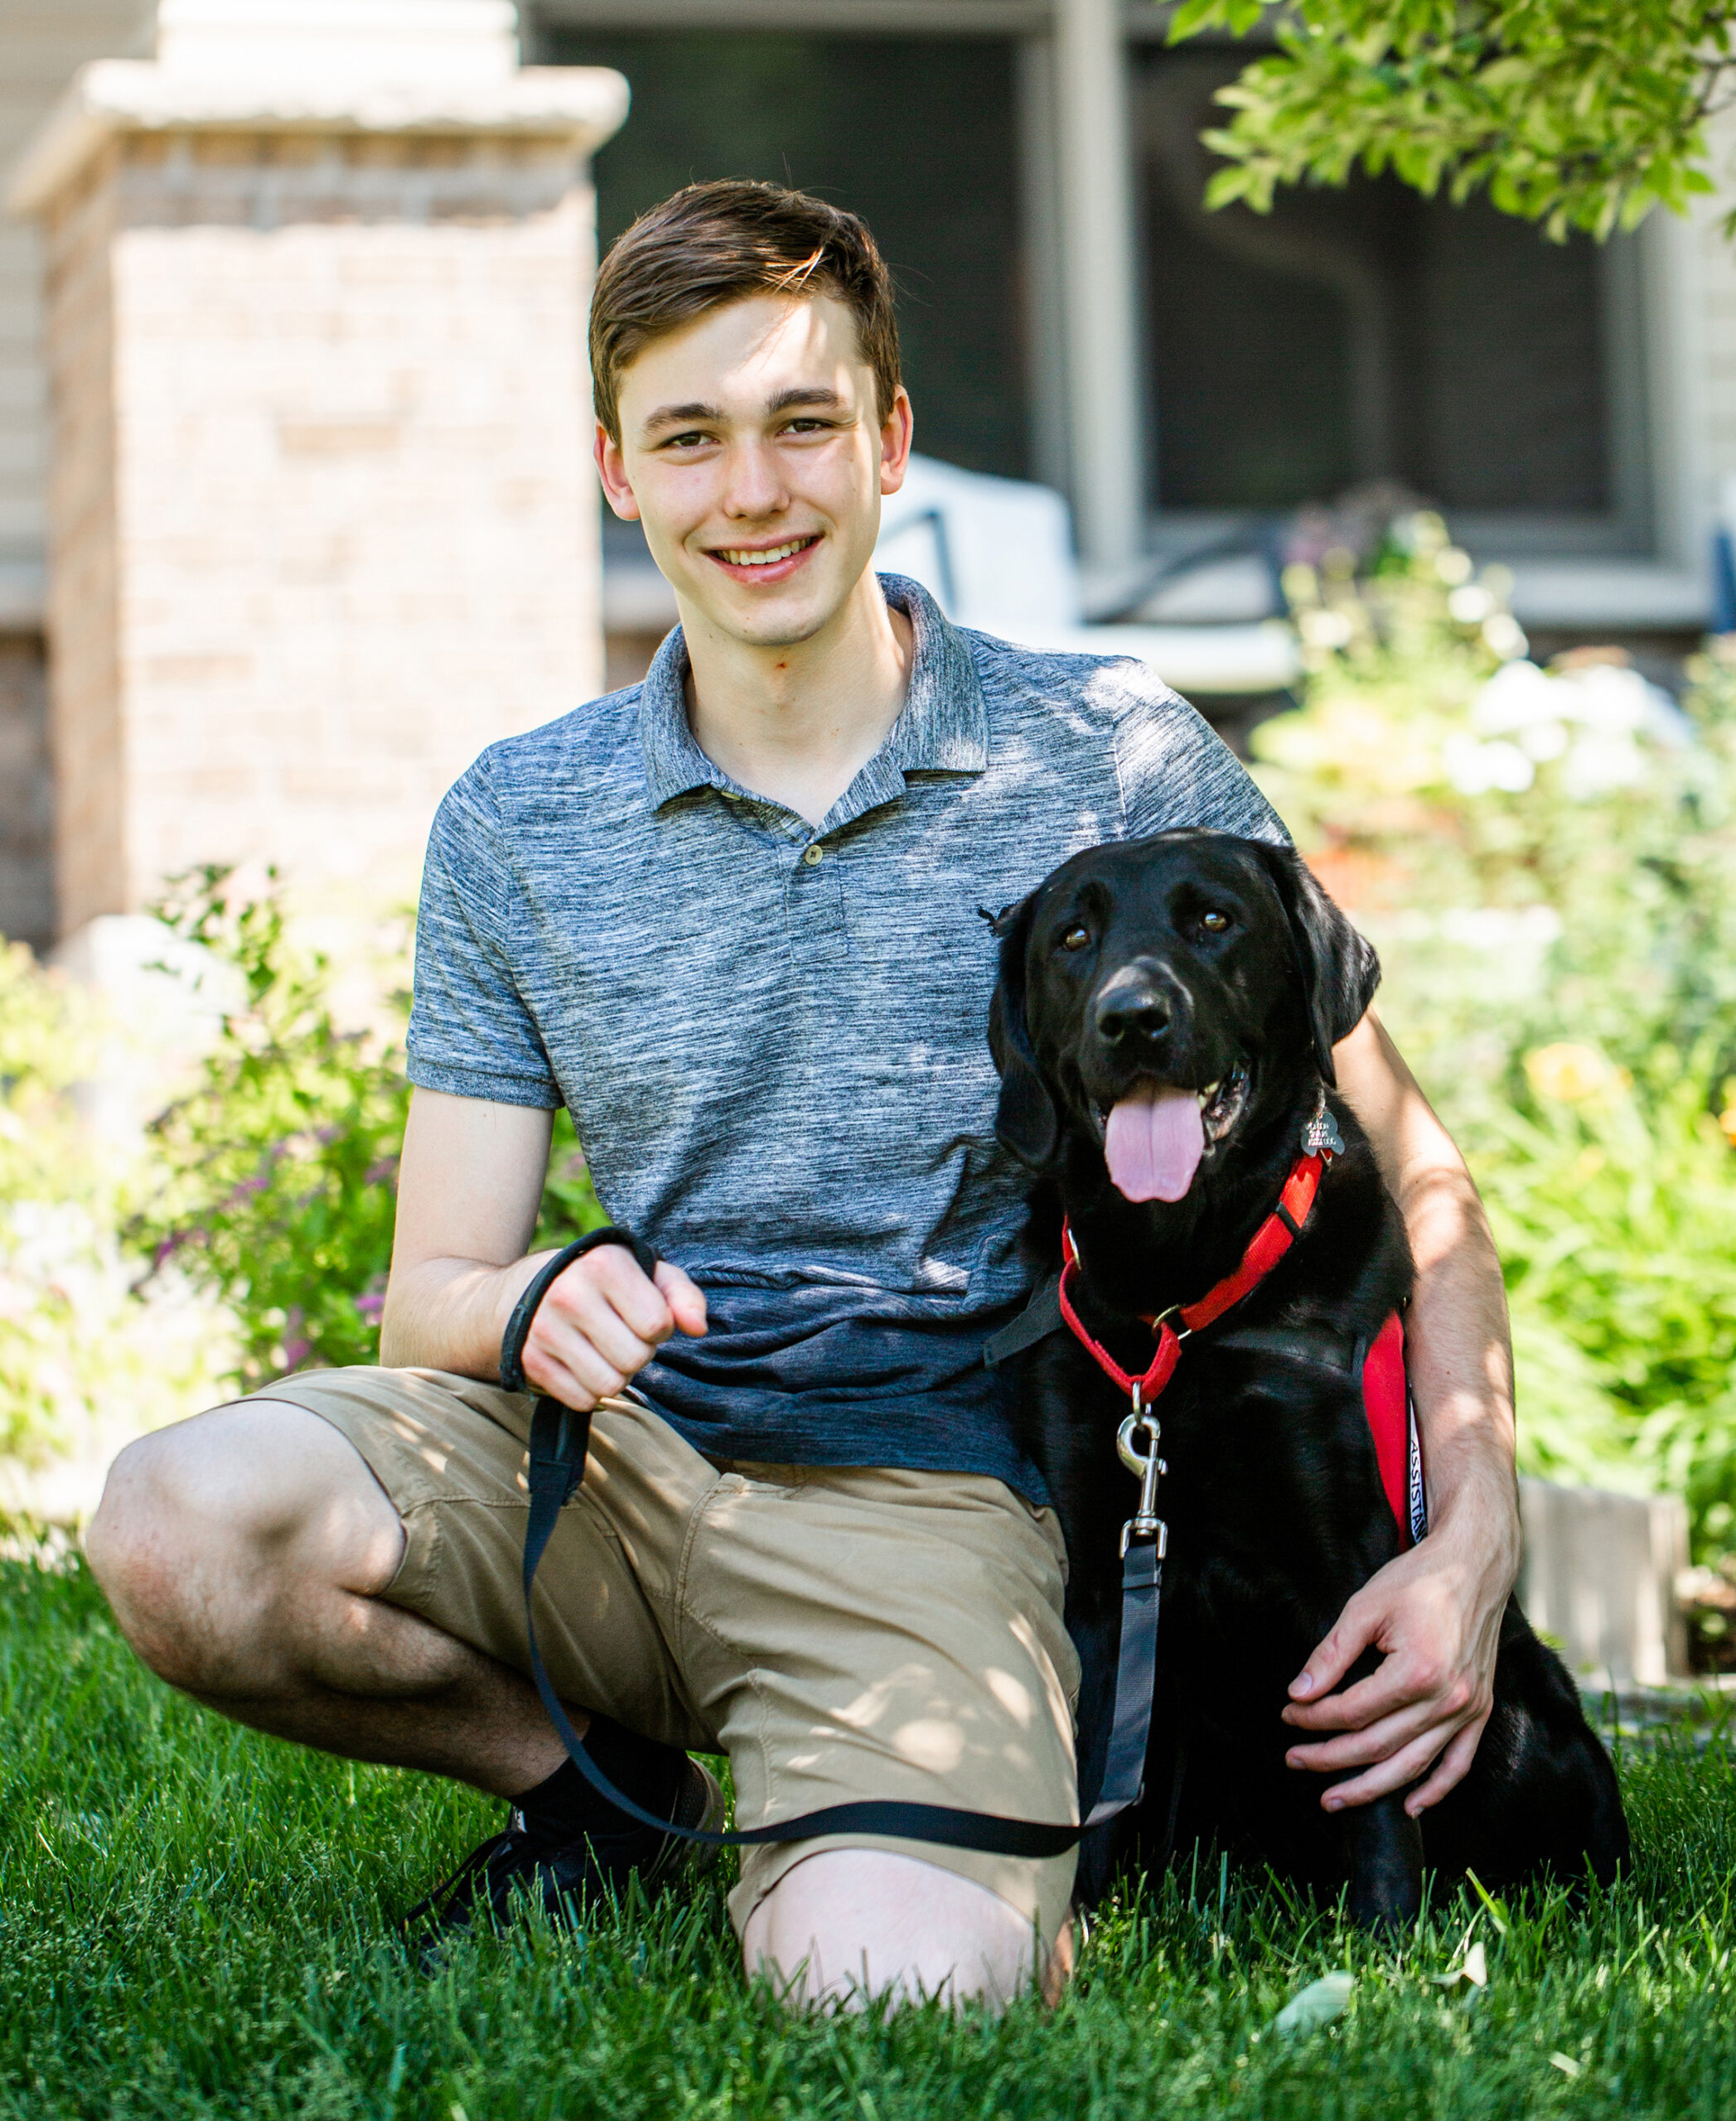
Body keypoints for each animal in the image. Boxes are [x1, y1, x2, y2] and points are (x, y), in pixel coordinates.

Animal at [989, 827, 1621, 1925]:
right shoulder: (1104, 1561)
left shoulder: (1347, 1564)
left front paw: (1386, 1937)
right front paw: (1079, 1931)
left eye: (1213, 918)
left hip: (1522, 1714)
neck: (1178, 1293)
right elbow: (1094, 1766)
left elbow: (1373, 1785)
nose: (1132, 1018)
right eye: (1072, 937)